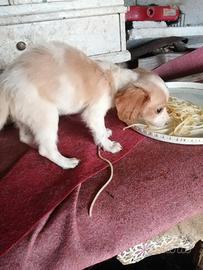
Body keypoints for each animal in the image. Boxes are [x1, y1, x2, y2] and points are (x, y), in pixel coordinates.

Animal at [0, 42, 168, 169]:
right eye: (158, 110)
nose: (167, 122)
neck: (114, 79)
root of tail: (6, 82)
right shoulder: (93, 114)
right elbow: (99, 130)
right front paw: (109, 146)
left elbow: (99, 131)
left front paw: (104, 136)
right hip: (46, 116)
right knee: (45, 149)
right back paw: (66, 162)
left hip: (26, 115)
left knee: (24, 137)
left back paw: (34, 142)